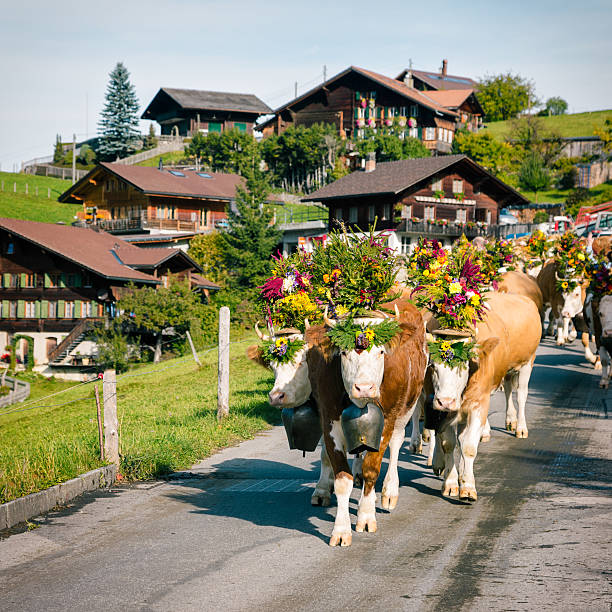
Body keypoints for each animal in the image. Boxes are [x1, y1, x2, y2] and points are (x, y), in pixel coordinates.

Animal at [308, 296, 428, 544]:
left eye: (381, 352)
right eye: (344, 353)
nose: (364, 387)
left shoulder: (387, 420)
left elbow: (372, 469)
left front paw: (365, 517)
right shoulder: (329, 422)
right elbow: (342, 479)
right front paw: (341, 530)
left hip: (406, 407)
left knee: (396, 444)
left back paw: (388, 492)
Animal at [426, 292, 540, 502]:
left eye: (463, 367)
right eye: (433, 366)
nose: (445, 401)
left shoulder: (479, 404)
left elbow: (469, 446)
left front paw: (468, 487)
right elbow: (448, 443)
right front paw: (451, 482)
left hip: (528, 361)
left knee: (521, 394)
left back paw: (520, 427)